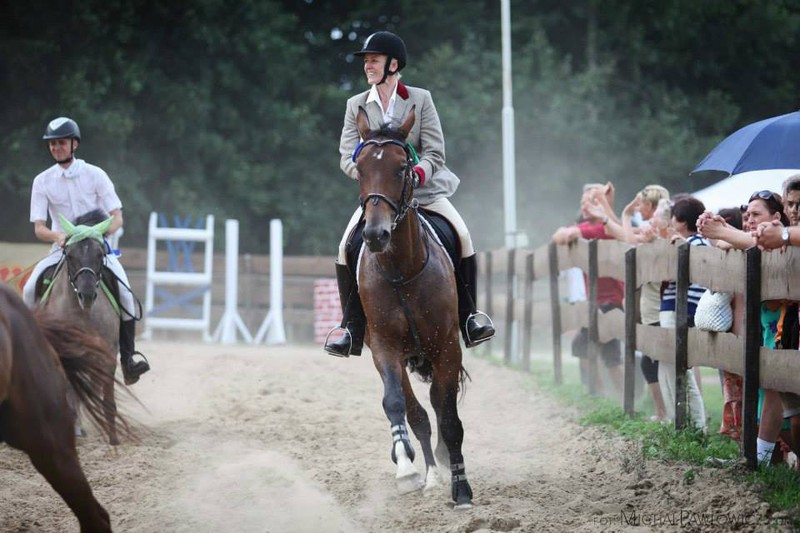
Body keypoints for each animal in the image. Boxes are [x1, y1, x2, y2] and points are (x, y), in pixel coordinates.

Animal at [39, 212, 122, 444]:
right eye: (69, 255)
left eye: (100, 254)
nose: (87, 295)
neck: (82, 314)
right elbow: (70, 396)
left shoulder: (108, 353)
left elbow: (107, 398)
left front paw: (113, 439)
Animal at [354, 107, 472, 508]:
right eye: (359, 168)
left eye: (402, 167)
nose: (375, 235)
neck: (400, 270)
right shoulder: (384, 347)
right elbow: (397, 404)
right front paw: (406, 467)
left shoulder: (447, 346)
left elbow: (449, 417)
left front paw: (461, 488)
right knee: (418, 411)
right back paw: (428, 470)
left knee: (440, 405)